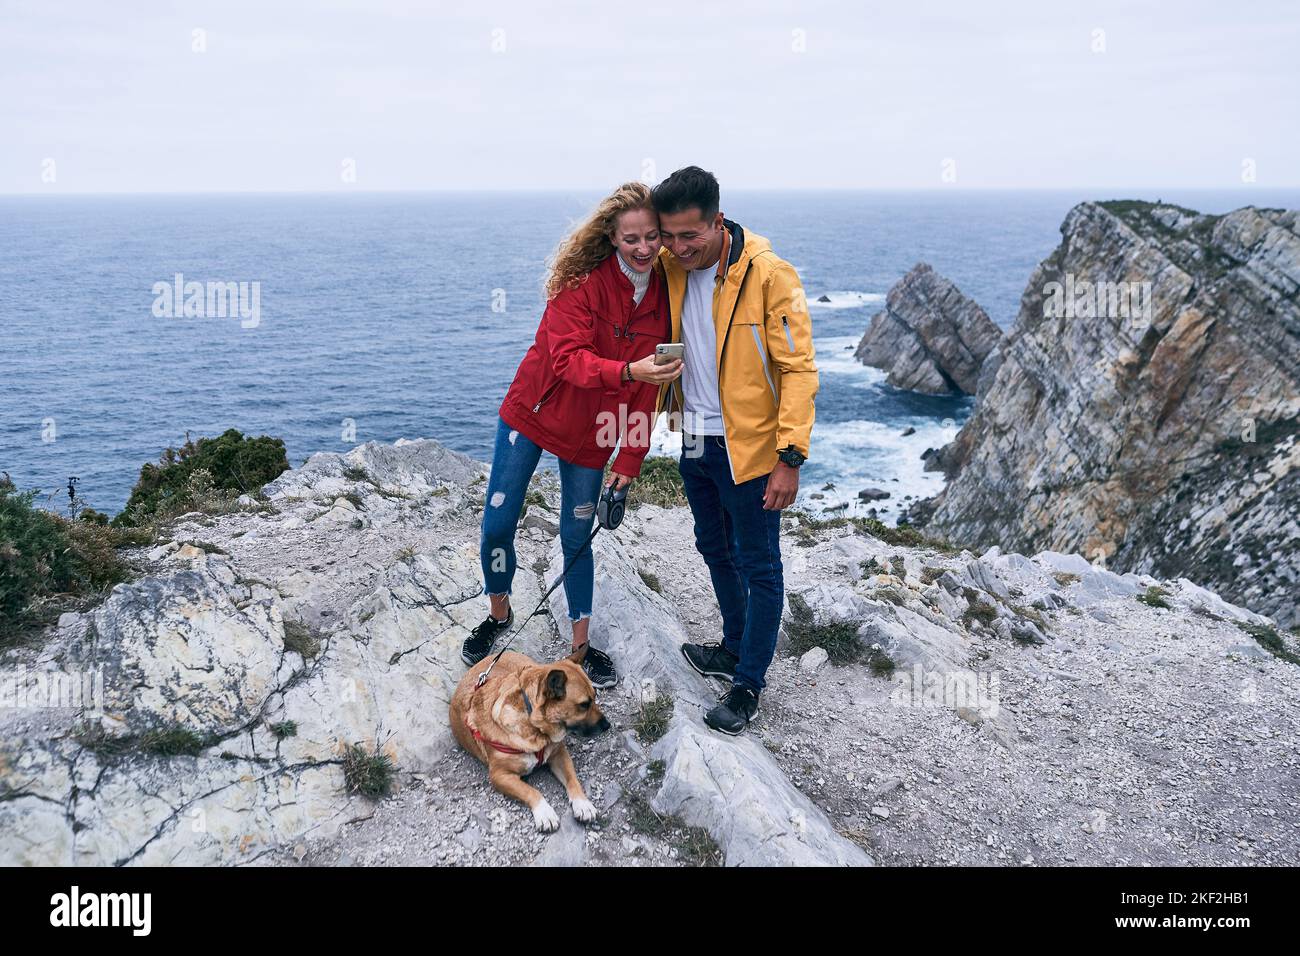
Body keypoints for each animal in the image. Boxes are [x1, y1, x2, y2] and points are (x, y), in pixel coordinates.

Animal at [449, 647, 611, 832]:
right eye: (584, 704)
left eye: (595, 697)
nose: (608, 725)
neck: (533, 723)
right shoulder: (499, 776)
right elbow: (531, 791)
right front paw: (545, 813)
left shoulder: (559, 754)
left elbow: (572, 779)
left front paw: (582, 804)